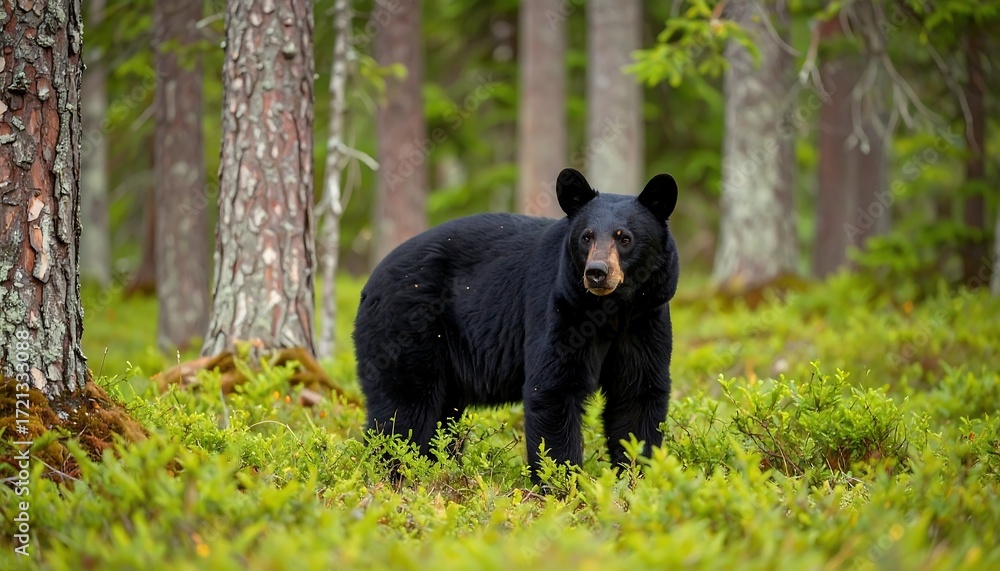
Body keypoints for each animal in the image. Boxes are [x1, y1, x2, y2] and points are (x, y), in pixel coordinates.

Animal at [353, 168, 679, 481]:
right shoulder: (560, 307)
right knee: (403, 408)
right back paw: (397, 473)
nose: (596, 272)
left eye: (625, 238)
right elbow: (552, 388)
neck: (611, 311)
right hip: (407, 326)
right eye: (586, 237)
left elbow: (637, 395)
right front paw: (560, 484)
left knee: (440, 413)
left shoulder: (645, 320)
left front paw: (637, 477)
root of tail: (369, 284)